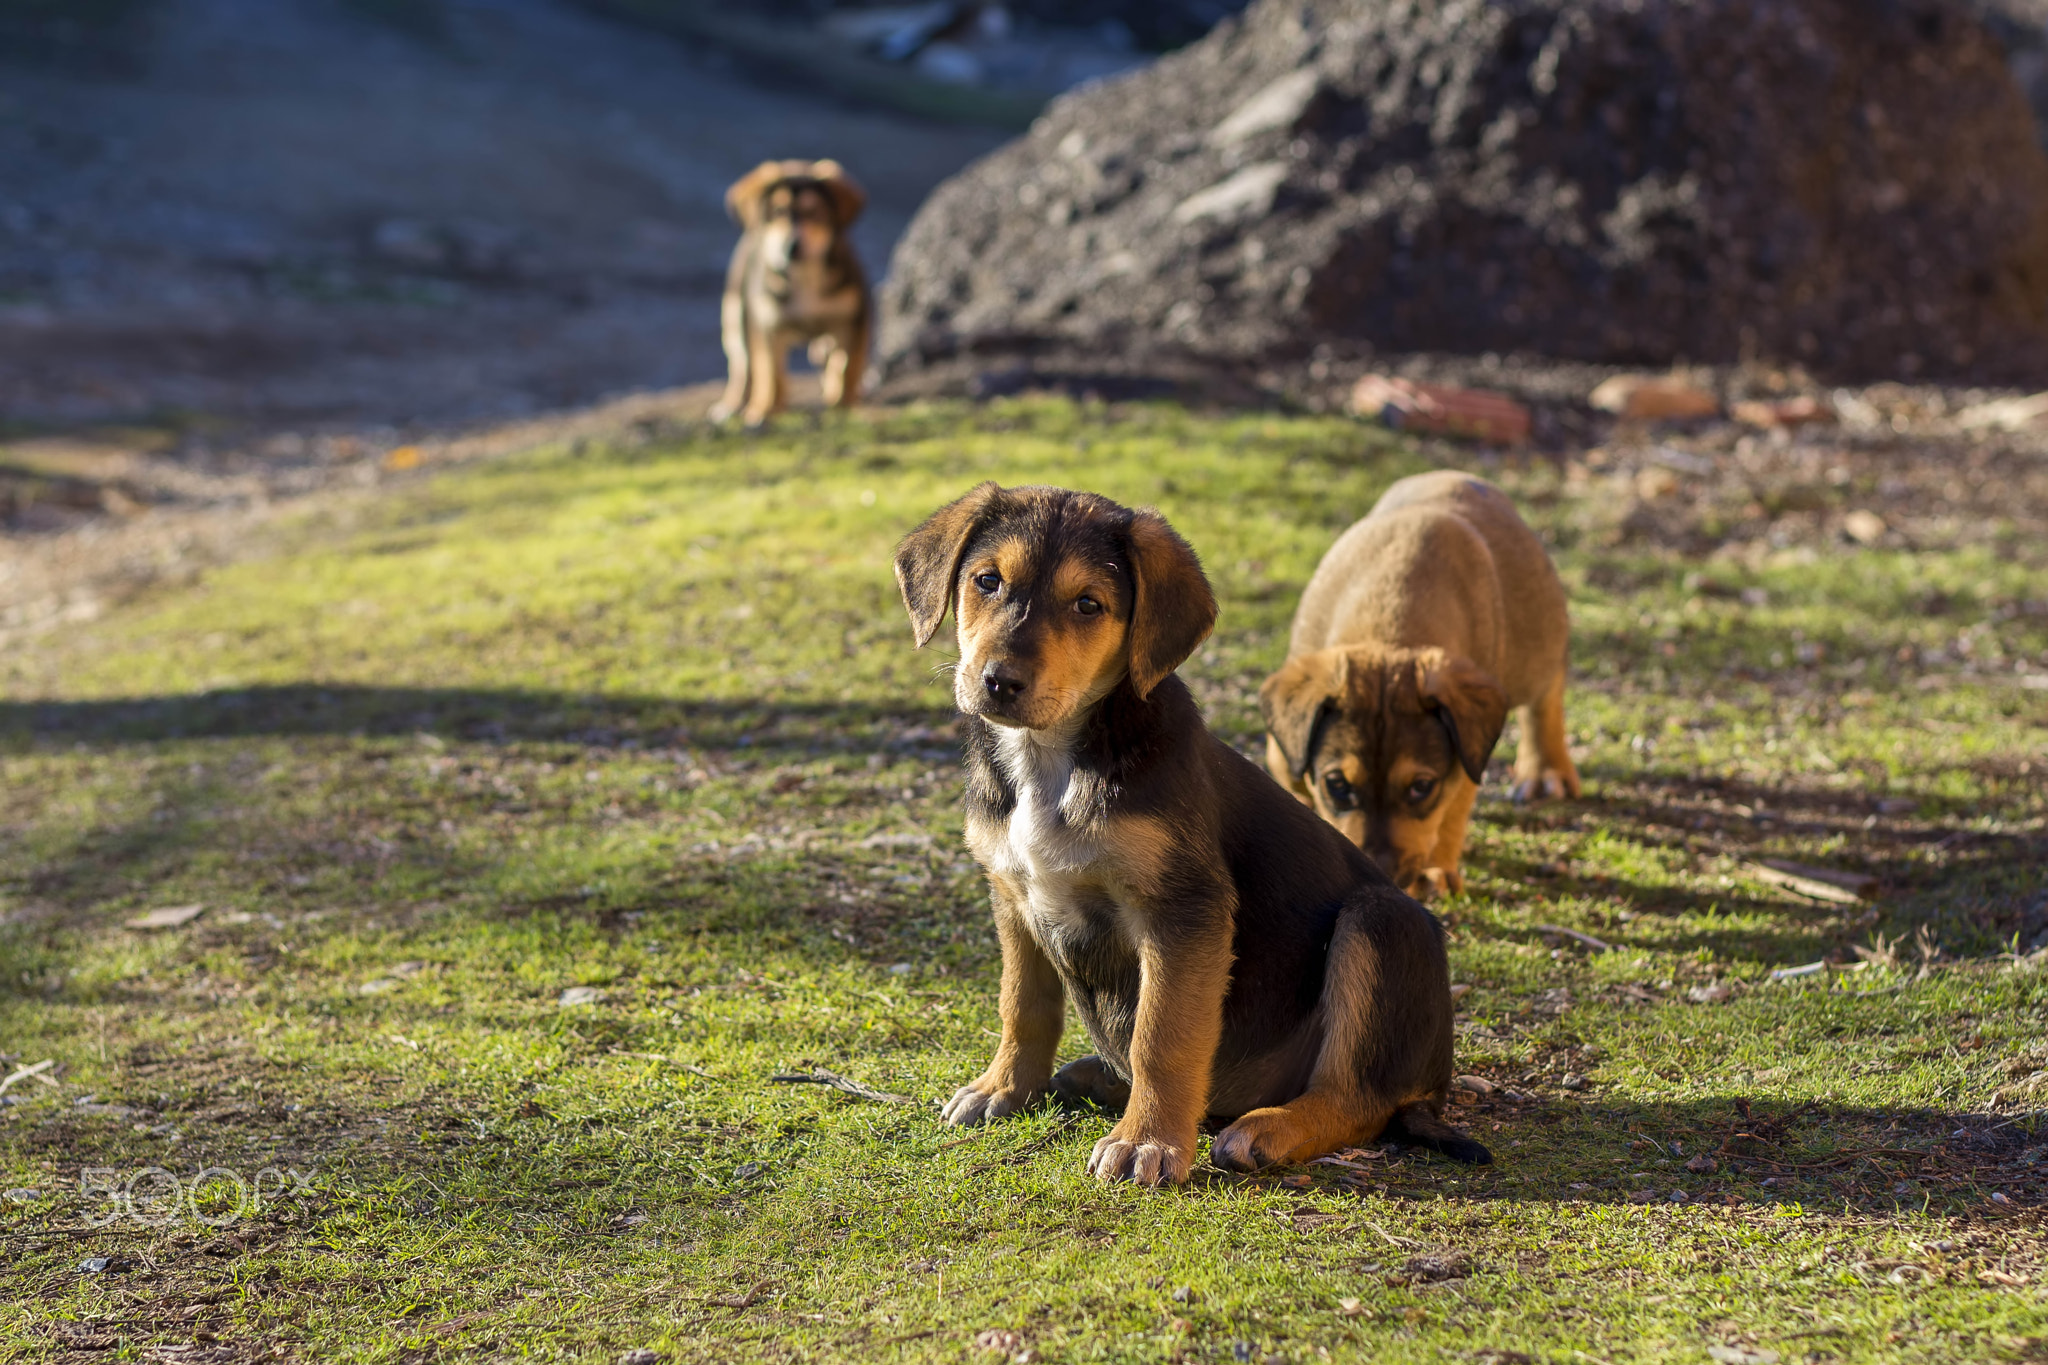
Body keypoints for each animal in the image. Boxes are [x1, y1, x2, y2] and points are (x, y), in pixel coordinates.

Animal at [708, 158, 868, 427]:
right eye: (777, 212)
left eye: (813, 212)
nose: (792, 246)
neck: (803, 279)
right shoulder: (767, 327)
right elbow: (771, 373)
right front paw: (764, 411)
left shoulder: (857, 319)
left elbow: (849, 366)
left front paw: (846, 405)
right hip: (734, 316)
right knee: (742, 366)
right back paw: (732, 405)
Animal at [897, 482, 1490, 1186]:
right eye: (986, 580)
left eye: (1088, 604)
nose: (999, 682)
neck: (1050, 762)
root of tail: (1434, 1085)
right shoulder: (1013, 896)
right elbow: (1023, 1005)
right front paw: (1004, 1088)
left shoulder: (1183, 912)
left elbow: (1163, 1036)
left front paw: (1147, 1141)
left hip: (1383, 925)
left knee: (1358, 1096)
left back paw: (1267, 1131)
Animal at [1261, 474, 1581, 900]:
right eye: (1337, 784)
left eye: (1421, 787)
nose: (1381, 875)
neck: (1389, 632)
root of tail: (1456, 475)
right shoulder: (1287, 744)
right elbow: (1290, 771)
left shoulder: (1464, 757)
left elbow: (1452, 809)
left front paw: (1434, 870)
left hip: (1538, 644)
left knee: (1547, 697)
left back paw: (1546, 769)